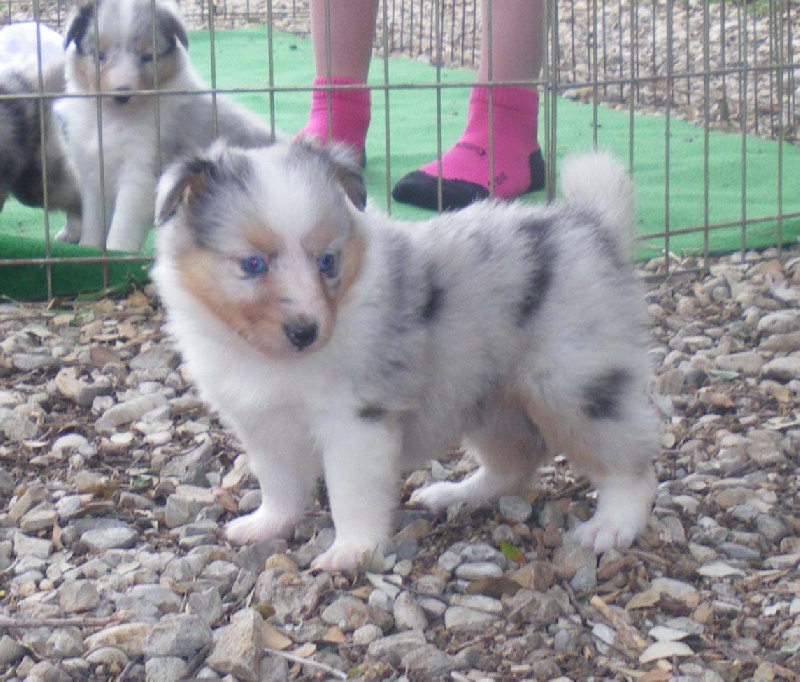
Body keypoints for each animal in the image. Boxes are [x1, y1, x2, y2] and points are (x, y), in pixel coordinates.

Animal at [61, 0, 276, 252]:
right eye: (99, 55)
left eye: (147, 56)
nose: (122, 94)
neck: (114, 117)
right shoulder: (92, 170)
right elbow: (94, 219)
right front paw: (90, 248)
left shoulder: (141, 172)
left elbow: (122, 223)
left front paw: (116, 252)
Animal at [153, 139, 660, 568]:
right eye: (252, 264)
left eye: (327, 261)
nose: (306, 332)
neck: (274, 361)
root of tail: (593, 225)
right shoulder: (262, 423)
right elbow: (278, 484)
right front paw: (265, 526)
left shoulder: (355, 421)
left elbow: (350, 493)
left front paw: (351, 551)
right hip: (487, 397)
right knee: (515, 460)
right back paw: (456, 495)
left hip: (574, 385)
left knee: (630, 464)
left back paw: (610, 527)